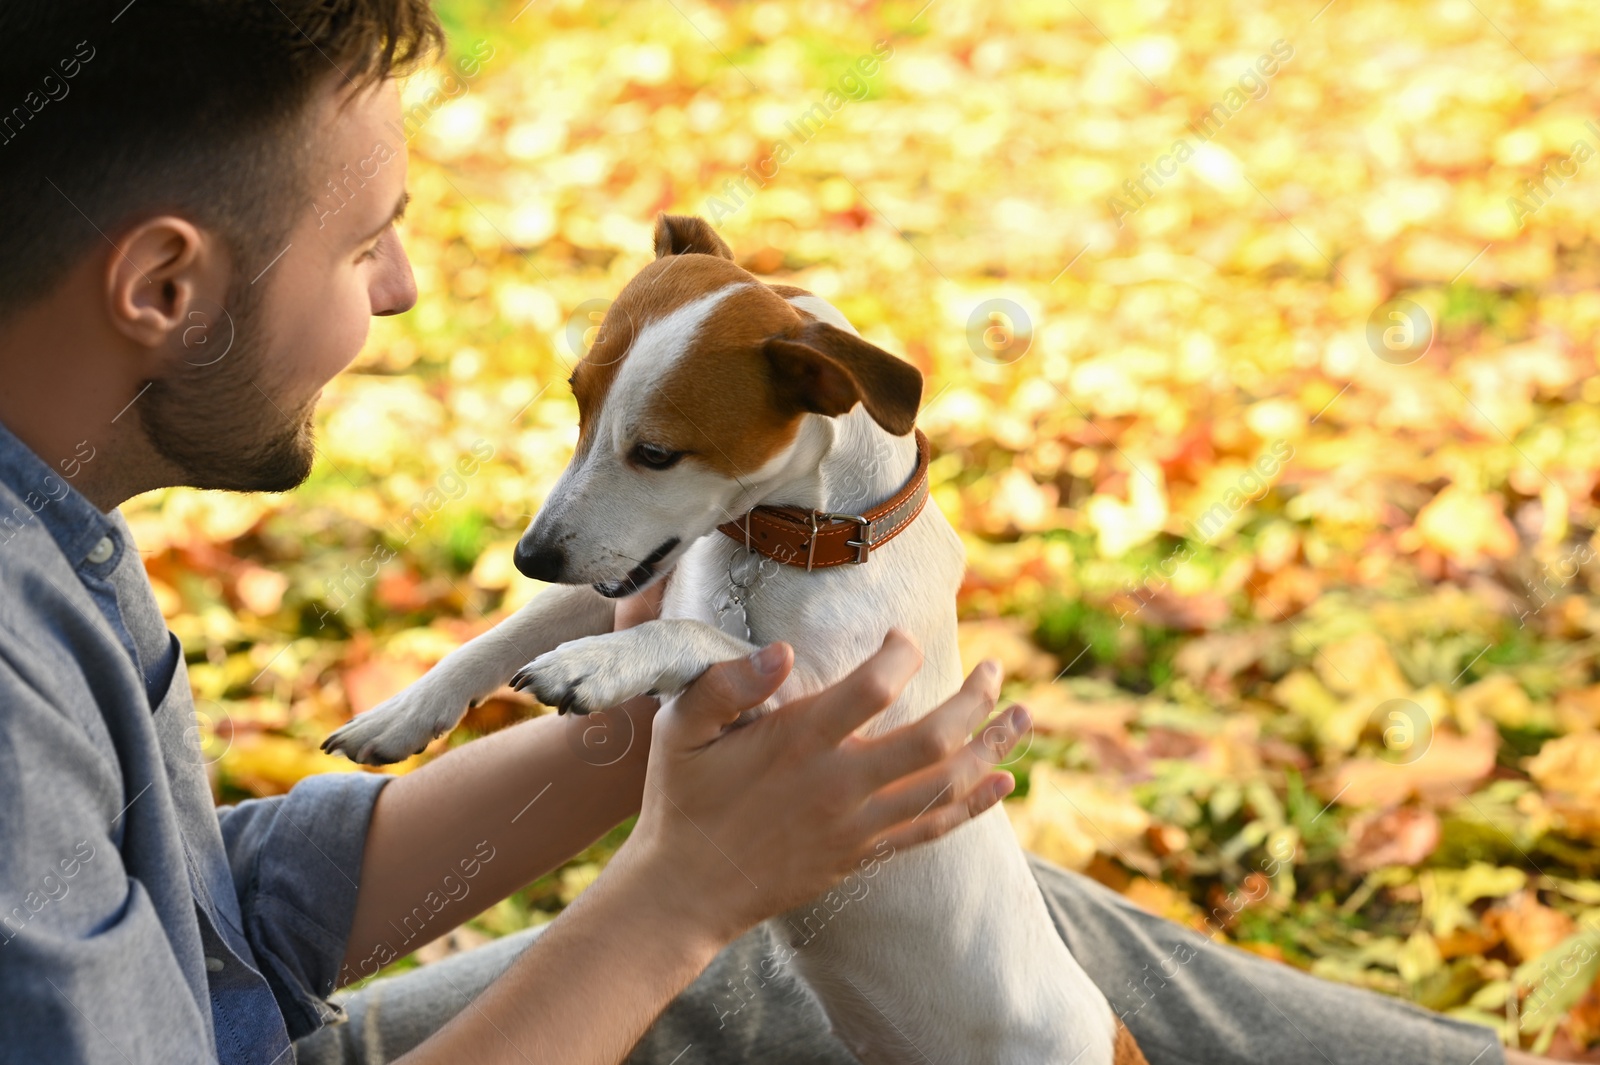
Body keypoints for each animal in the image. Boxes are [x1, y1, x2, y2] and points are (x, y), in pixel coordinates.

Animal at [324, 214, 1145, 1061]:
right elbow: (509, 632)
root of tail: (1111, 1033)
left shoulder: (836, 712)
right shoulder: (625, 585)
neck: (786, 543)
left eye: (656, 452)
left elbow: (696, 635)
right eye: (578, 401)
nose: (530, 556)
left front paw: (596, 664)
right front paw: (404, 711)